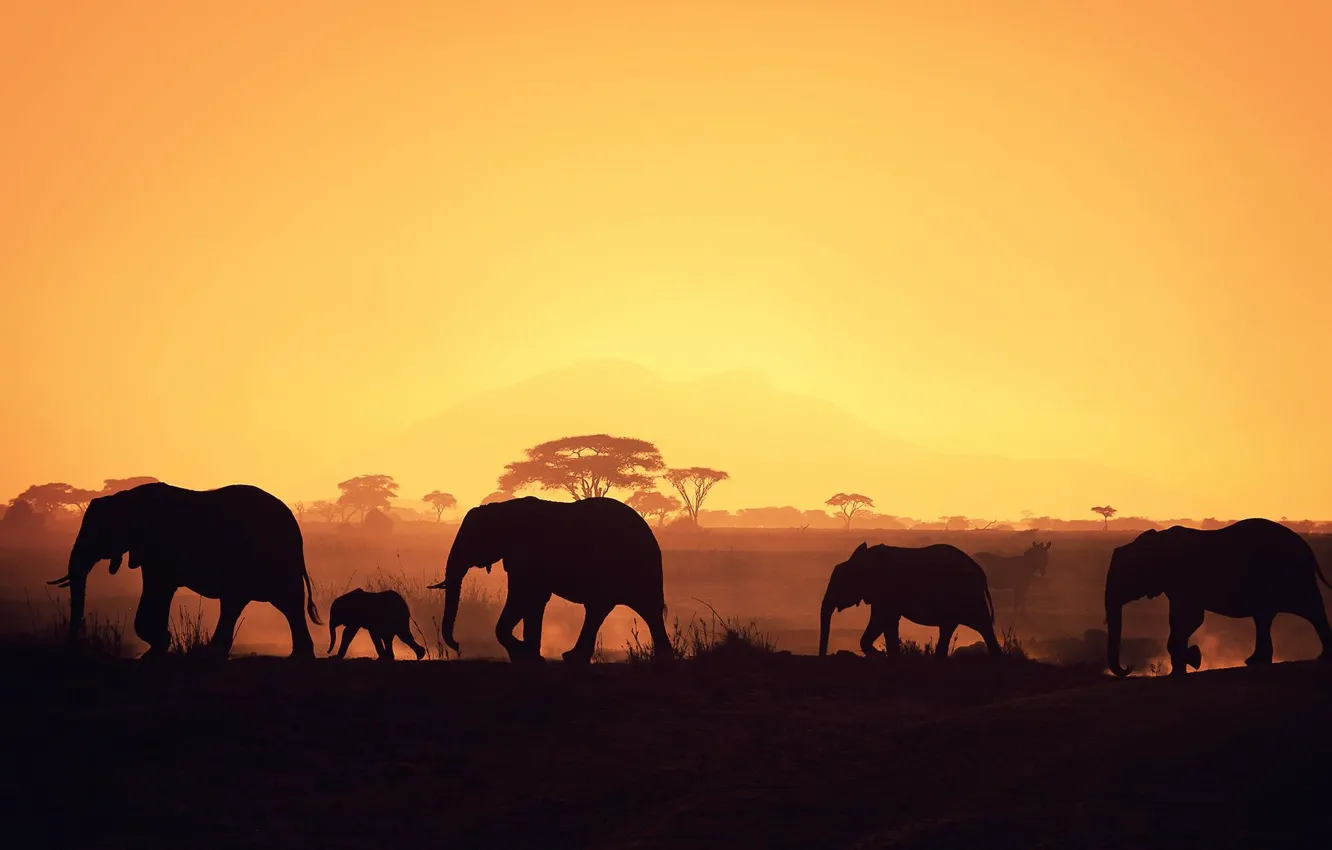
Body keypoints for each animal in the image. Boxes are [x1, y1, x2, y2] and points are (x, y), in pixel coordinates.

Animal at [47, 482, 320, 659]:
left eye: (99, 533)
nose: (71, 649)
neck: (124, 499)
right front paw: (156, 648)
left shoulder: (159, 546)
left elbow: (158, 587)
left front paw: (156, 648)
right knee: (247, 602)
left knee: (283, 601)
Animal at [430, 496, 672, 664]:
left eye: (470, 541)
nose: (457, 645)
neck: (501, 508)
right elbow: (532, 600)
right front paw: (529, 656)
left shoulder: (528, 552)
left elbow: (524, 597)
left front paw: (525, 654)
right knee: (606, 609)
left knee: (639, 608)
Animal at [818, 542, 1002, 659]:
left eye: (839, 583)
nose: (823, 657)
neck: (862, 560)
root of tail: (981, 574)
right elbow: (888, 623)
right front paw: (890, 656)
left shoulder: (885, 590)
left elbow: (882, 620)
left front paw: (883, 655)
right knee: (950, 627)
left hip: (967, 595)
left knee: (982, 625)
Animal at [1105, 518, 1332, 677]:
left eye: (1124, 576)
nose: (1129, 666)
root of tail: (1306, 546)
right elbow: (1182, 620)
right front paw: (1184, 665)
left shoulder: (1185, 580)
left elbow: (1190, 618)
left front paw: (1192, 659)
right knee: (1264, 617)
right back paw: (1256, 661)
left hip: (1293, 575)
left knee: (1312, 610)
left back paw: (1322, 657)